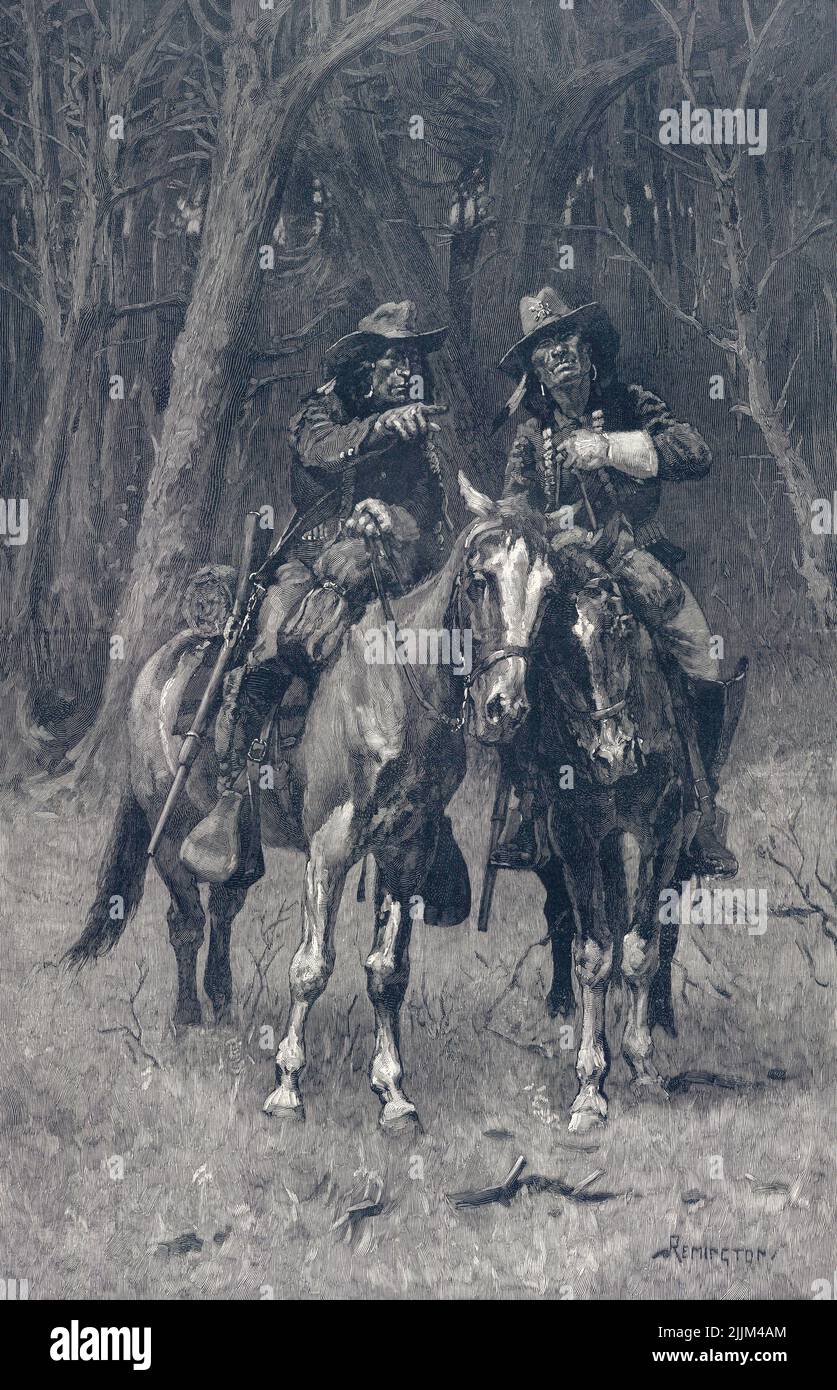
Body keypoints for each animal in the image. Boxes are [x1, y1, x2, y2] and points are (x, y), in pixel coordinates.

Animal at [66, 483, 553, 1134]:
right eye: (481, 579)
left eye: (548, 588)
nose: (506, 707)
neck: (394, 686)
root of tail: (159, 662)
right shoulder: (332, 846)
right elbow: (312, 966)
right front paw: (287, 1087)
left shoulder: (405, 848)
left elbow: (387, 972)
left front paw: (393, 1093)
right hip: (169, 836)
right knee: (186, 920)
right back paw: (188, 1017)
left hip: (239, 843)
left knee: (224, 908)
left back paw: (222, 1006)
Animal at [500, 517, 684, 1134]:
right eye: (555, 648)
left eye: (623, 626)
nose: (613, 753)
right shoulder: (577, 838)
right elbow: (594, 956)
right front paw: (589, 1088)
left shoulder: (662, 831)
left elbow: (640, 946)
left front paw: (644, 1068)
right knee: (572, 922)